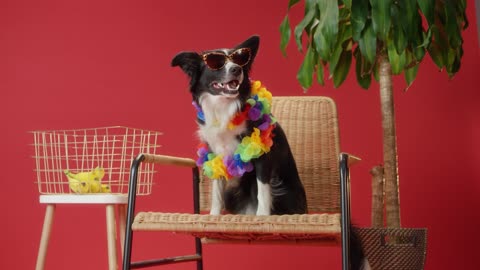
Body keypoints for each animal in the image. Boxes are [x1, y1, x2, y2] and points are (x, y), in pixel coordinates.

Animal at [171, 35, 370, 268]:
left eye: (239, 60)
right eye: (215, 63)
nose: (236, 70)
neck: (224, 107)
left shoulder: (262, 156)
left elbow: (263, 189)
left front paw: (262, 217)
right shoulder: (215, 154)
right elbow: (216, 191)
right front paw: (213, 216)